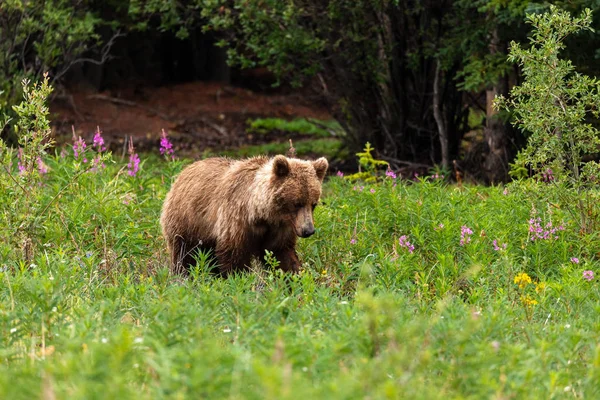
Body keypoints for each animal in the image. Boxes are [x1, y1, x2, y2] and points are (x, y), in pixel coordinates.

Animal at [159, 155, 328, 276]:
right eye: (297, 203)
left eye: (313, 204)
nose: (308, 230)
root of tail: (183, 172)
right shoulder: (236, 220)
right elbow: (234, 256)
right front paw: (238, 280)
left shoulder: (280, 227)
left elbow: (281, 253)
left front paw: (294, 279)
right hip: (188, 221)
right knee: (185, 254)